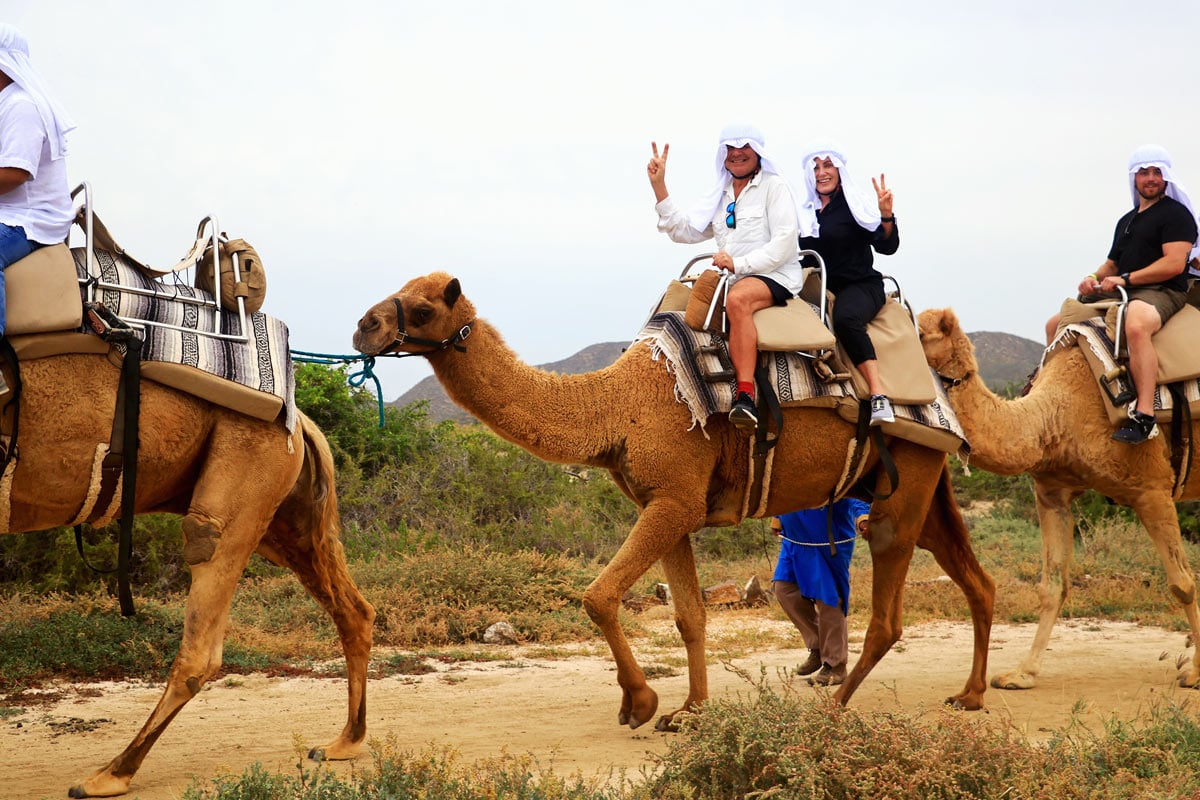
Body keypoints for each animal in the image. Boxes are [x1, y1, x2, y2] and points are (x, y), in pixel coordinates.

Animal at [5, 352, 375, 798]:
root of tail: (301, 423)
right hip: (289, 520)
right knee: (354, 611)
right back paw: (344, 742)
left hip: (239, 493)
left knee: (201, 643)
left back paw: (109, 774)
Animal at [352, 271, 996, 730]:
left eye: (425, 307)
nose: (364, 326)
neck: (617, 404)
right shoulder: (667, 506)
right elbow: (689, 616)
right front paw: (689, 712)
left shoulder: (673, 501)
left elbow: (597, 595)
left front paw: (640, 703)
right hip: (916, 477)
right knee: (976, 580)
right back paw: (969, 695)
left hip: (905, 478)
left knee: (887, 609)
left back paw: (833, 710)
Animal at [917, 307, 1200, 691]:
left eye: (919, 331)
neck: (1057, 411)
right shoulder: (1052, 493)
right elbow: (1052, 586)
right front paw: (1021, 673)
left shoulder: (1151, 489)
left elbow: (1182, 583)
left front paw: (1196, 673)